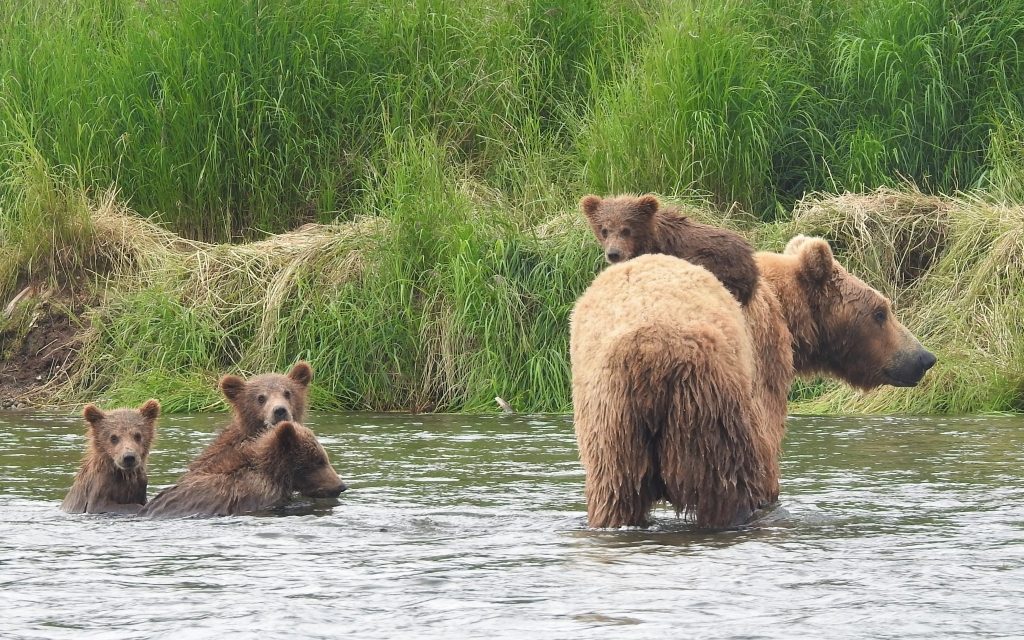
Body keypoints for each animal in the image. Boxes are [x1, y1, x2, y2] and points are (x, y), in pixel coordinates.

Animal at [569, 235, 936, 529]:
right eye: (880, 312)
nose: (924, 357)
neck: (786, 313)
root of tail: (649, 352)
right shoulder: (764, 364)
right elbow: (768, 449)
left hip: (612, 426)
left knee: (616, 494)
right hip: (707, 404)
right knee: (730, 484)